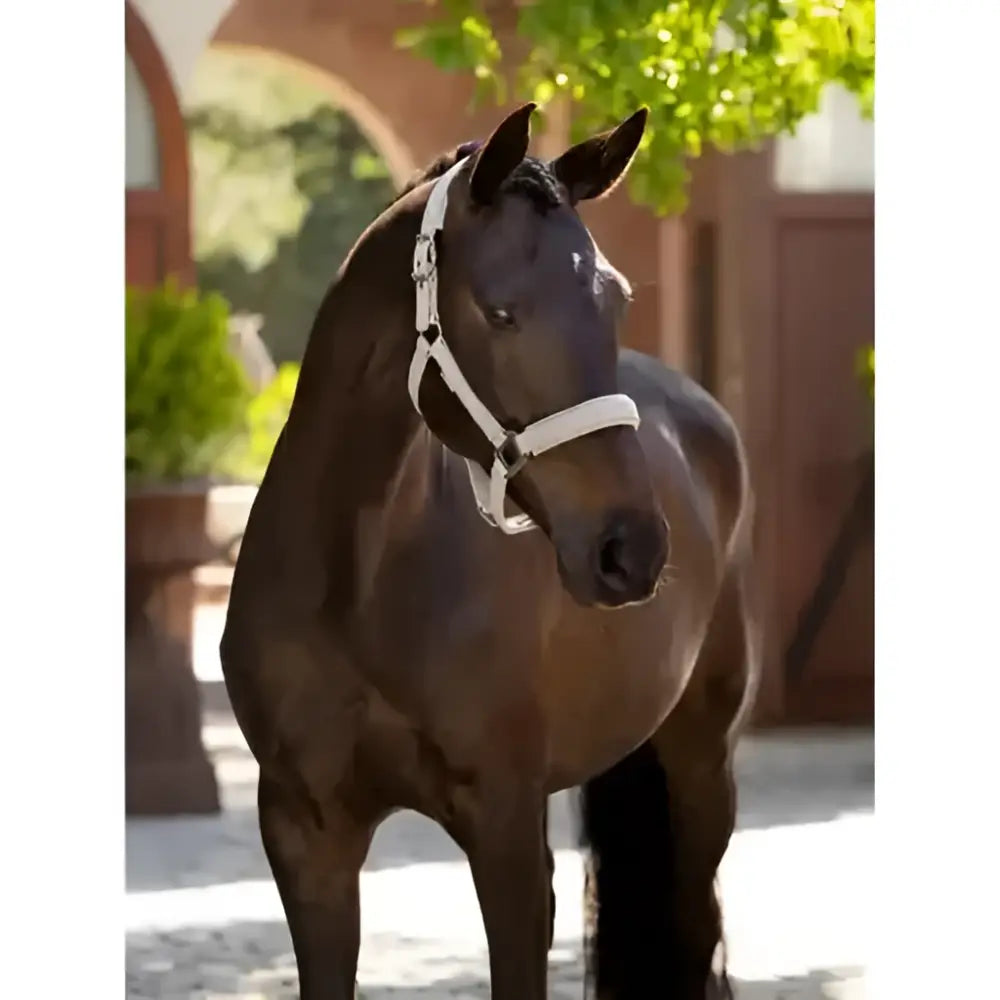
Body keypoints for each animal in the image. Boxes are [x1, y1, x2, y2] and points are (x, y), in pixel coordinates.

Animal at [221, 102, 759, 1000]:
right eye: (500, 311)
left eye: (614, 299)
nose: (630, 549)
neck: (355, 586)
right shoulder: (306, 834)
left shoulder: (506, 831)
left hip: (701, 763)